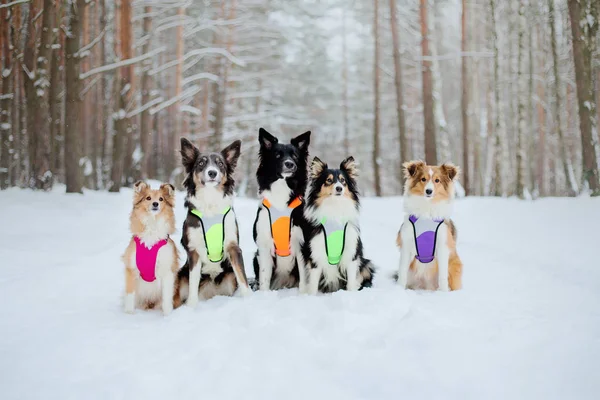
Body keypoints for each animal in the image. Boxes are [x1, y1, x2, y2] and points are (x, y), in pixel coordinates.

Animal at [121, 181, 178, 316]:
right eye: (148, 198)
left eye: (161, 199)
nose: (155, 204)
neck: (153, 224)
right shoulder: (131, 269)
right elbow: (130, 295)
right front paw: (129, 314)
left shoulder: (167, 271)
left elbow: (167, 298)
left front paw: (167, 316)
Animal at [172, 138, 250, 306]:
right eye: (201, 163)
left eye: (220, 163)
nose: (212, 172)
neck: (210, 199)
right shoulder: (194, 251)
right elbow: (193, 282)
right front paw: (191, 306)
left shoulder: (233, 247)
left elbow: (243, 277)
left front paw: (250, 298)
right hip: (180, 277)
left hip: (229, 278)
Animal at [252, 128, 310, 290]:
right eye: (277, 155)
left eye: (295, 155)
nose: (289, 164)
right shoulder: (264, 245)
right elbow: (264, 279)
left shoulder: (301, 244)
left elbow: (304, 279)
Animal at [292, 156, 372, 294]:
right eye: (328, 180)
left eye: (343, 180)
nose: (339, 188)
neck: (335, 205)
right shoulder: (316, 253)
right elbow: (313, 284)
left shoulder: (351, 252)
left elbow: (351, 281)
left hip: (366, 264)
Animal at [398, 159, 464, 290]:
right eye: (423, 179)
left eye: (437, 180)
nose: (429, 191)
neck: (427, 210)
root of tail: (427, 286)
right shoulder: (407, 245)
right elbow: (402, 272)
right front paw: (398, 290)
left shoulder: (443, 246)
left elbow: (443, 276)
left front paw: (443, 292)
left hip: (455, 265)